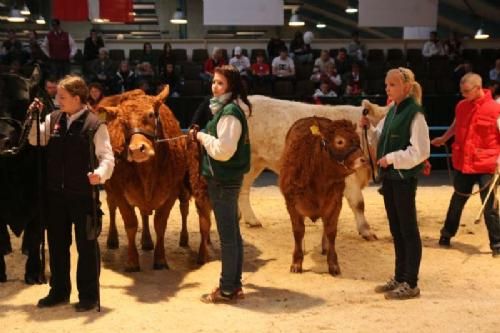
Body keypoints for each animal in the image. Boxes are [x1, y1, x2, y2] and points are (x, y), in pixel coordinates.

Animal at [98, 85, 212, 270]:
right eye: (122, 122)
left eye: (151, 114)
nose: (137, 149)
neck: (147, 173)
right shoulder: (119, 192)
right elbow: (131, 223)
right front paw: (132, 261)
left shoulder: (171, 192)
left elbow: (160, 223)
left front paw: (160, 259)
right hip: (109, 189)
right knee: (112, 207)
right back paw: (113, 240)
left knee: (180, 209)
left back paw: (158, 241)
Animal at [280, 116, 366, 274]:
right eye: (340, 141)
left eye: (358, 140)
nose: (363, 159)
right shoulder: (291, 204)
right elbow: (298, 231)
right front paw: (296, 262)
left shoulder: (335, 203)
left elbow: (331, 231)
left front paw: (333, 264)